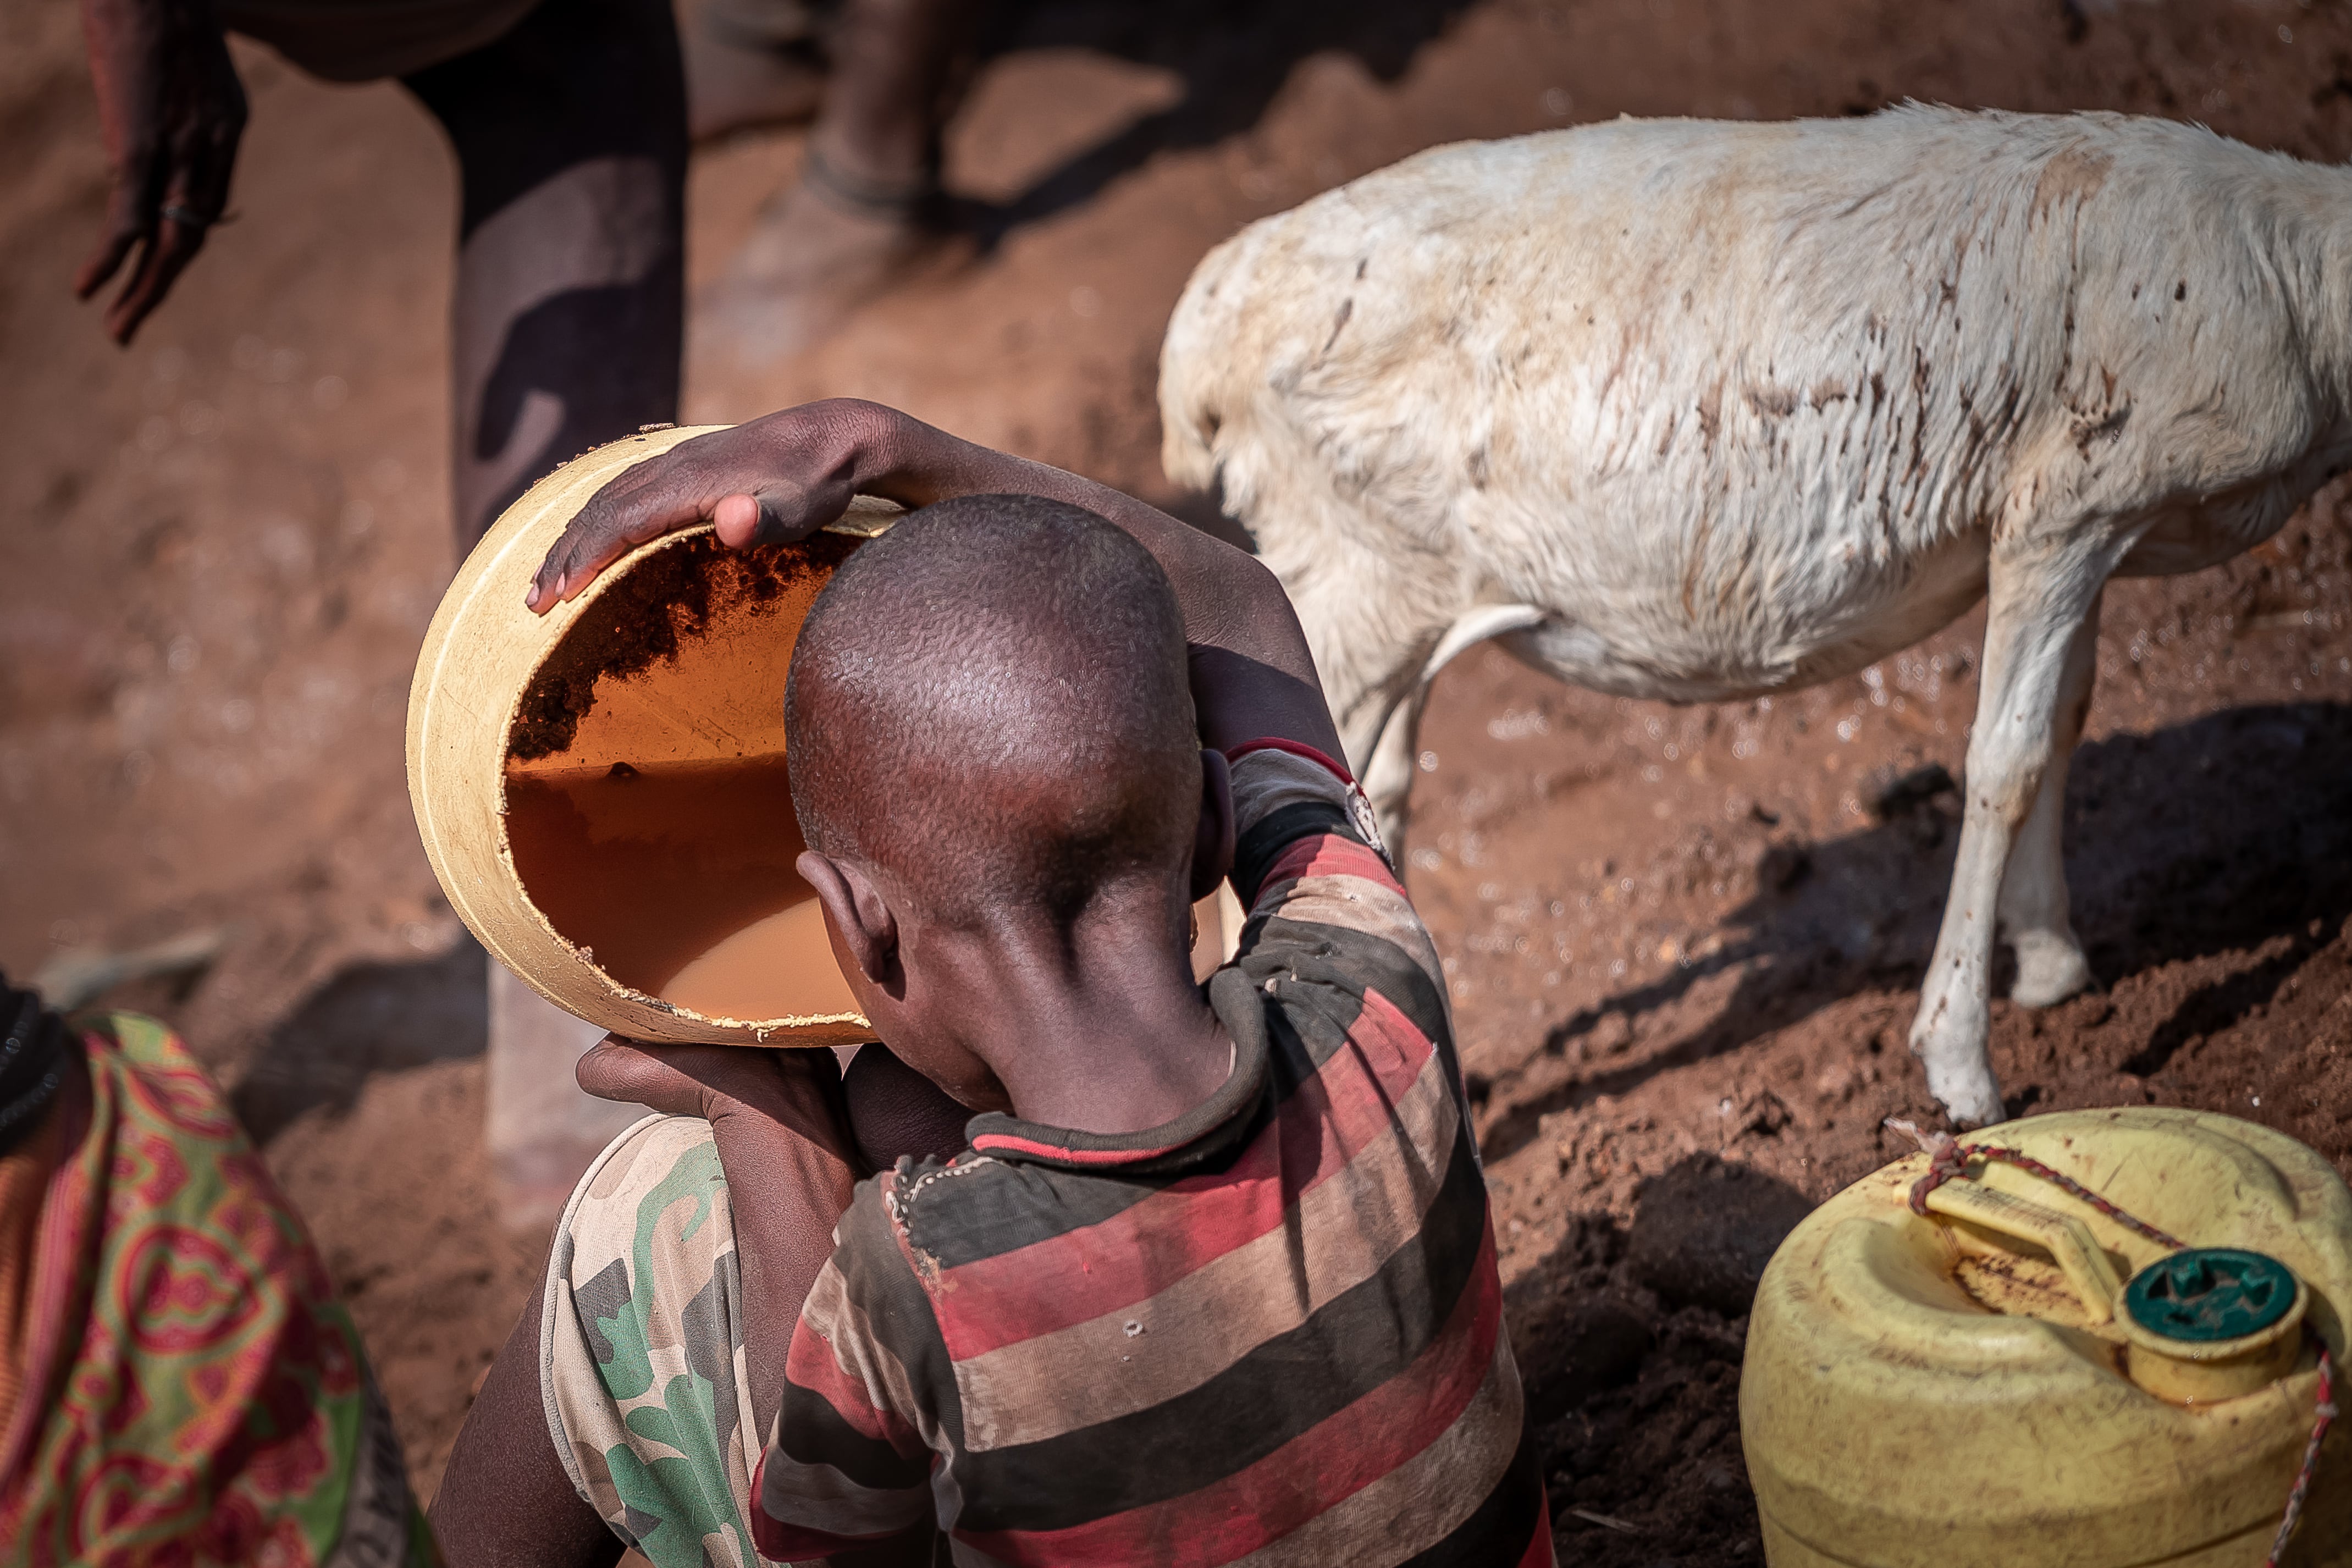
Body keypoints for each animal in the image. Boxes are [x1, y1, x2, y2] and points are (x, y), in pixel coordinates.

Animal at [1162, 107, 2352, 1128]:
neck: (2292, 271)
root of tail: (1204, 333)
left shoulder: (2094, 533)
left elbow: (2063, 720)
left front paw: (2055, 960)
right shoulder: (2064, 502)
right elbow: (2003, 760)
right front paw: (1962, 1066)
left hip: (1391, 596)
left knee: (1375, 801)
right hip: (1343, 580)